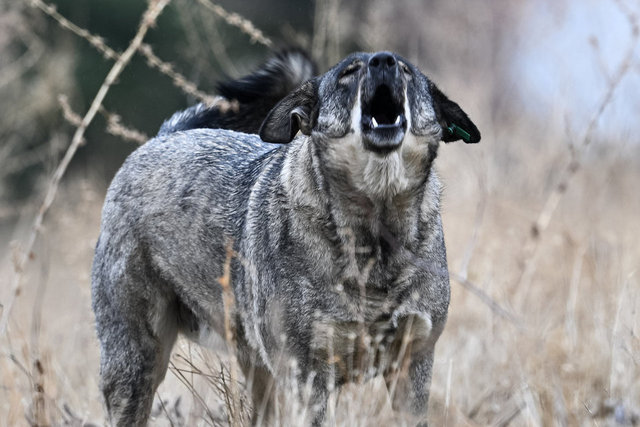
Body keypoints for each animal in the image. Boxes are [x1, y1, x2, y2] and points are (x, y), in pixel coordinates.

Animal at [91, 49, 480, 427]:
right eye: (348, 73)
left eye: (406, 70)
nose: (382, 60)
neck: (373, 237)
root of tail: (163, 137)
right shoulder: (306, 377)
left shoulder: (411, 370)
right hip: (134, 367)